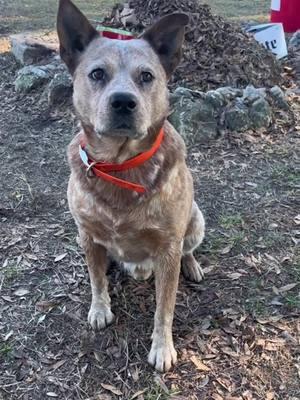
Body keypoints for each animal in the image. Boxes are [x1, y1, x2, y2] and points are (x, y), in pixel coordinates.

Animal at [57, 0, 205, 372]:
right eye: (97, 74)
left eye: (146, 76)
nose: (123, 101)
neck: (121, 166)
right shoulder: (87, 235)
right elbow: (96, 280)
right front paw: (99, 309)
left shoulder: (167, 249)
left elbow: (164, 308)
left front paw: (162, 347)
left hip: (196, 221)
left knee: (189, 248)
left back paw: (193, 265)